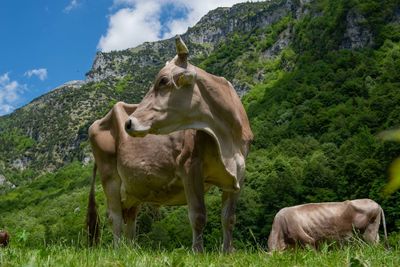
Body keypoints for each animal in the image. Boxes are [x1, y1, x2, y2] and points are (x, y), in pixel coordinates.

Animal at [124, 35, 253, 253]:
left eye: (163, 81)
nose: (128, 122)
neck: (227, 140)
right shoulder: (189, 165)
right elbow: (198, 215)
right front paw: (198, 252)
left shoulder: (239, 173)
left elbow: (229, 218)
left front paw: (228, 252)